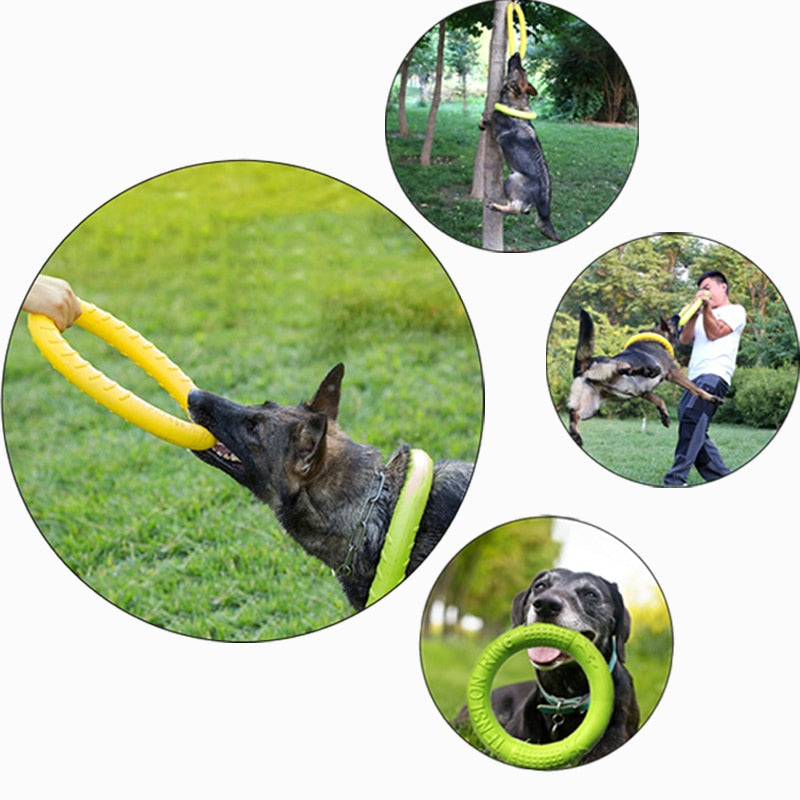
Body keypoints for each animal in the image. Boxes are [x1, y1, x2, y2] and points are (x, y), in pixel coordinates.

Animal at [478, 52, 560, 241]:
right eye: (521, 68)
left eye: (515, 68)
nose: (516, 53)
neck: (517, 102)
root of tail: (544, 204)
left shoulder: (494, 125)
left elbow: (488, 120)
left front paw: (482, 122)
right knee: (521, 210)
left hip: (511, 179)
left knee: (514, 210)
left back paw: (496, 206)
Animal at [564, 310, 728, 446]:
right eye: (671, 321)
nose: (677, 314)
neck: (659, 338)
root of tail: (586, 364)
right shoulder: (673, 373)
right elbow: (696, 388)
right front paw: (712, 398)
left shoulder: (642, 392)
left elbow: (659, 400)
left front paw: (664, 416)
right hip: (613, 366)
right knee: (623, 368)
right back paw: (649, 370)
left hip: (589, 410)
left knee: (574, 415)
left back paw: (576, 435)